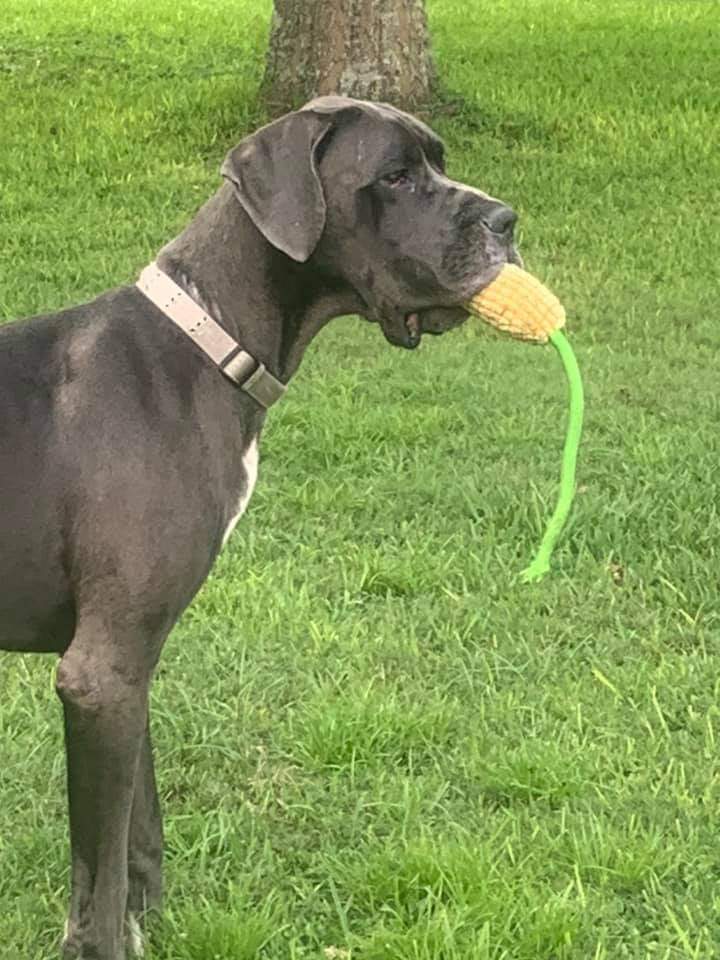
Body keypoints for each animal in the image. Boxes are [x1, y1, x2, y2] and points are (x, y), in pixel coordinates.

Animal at [0, 99, 516, 960]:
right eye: (395, 176)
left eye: (440, 162)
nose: (508, 221)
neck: (208, 345)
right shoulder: (101, 670)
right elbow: (99, 876)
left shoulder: (129, 665)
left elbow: (139, 831)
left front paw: (149, 919)